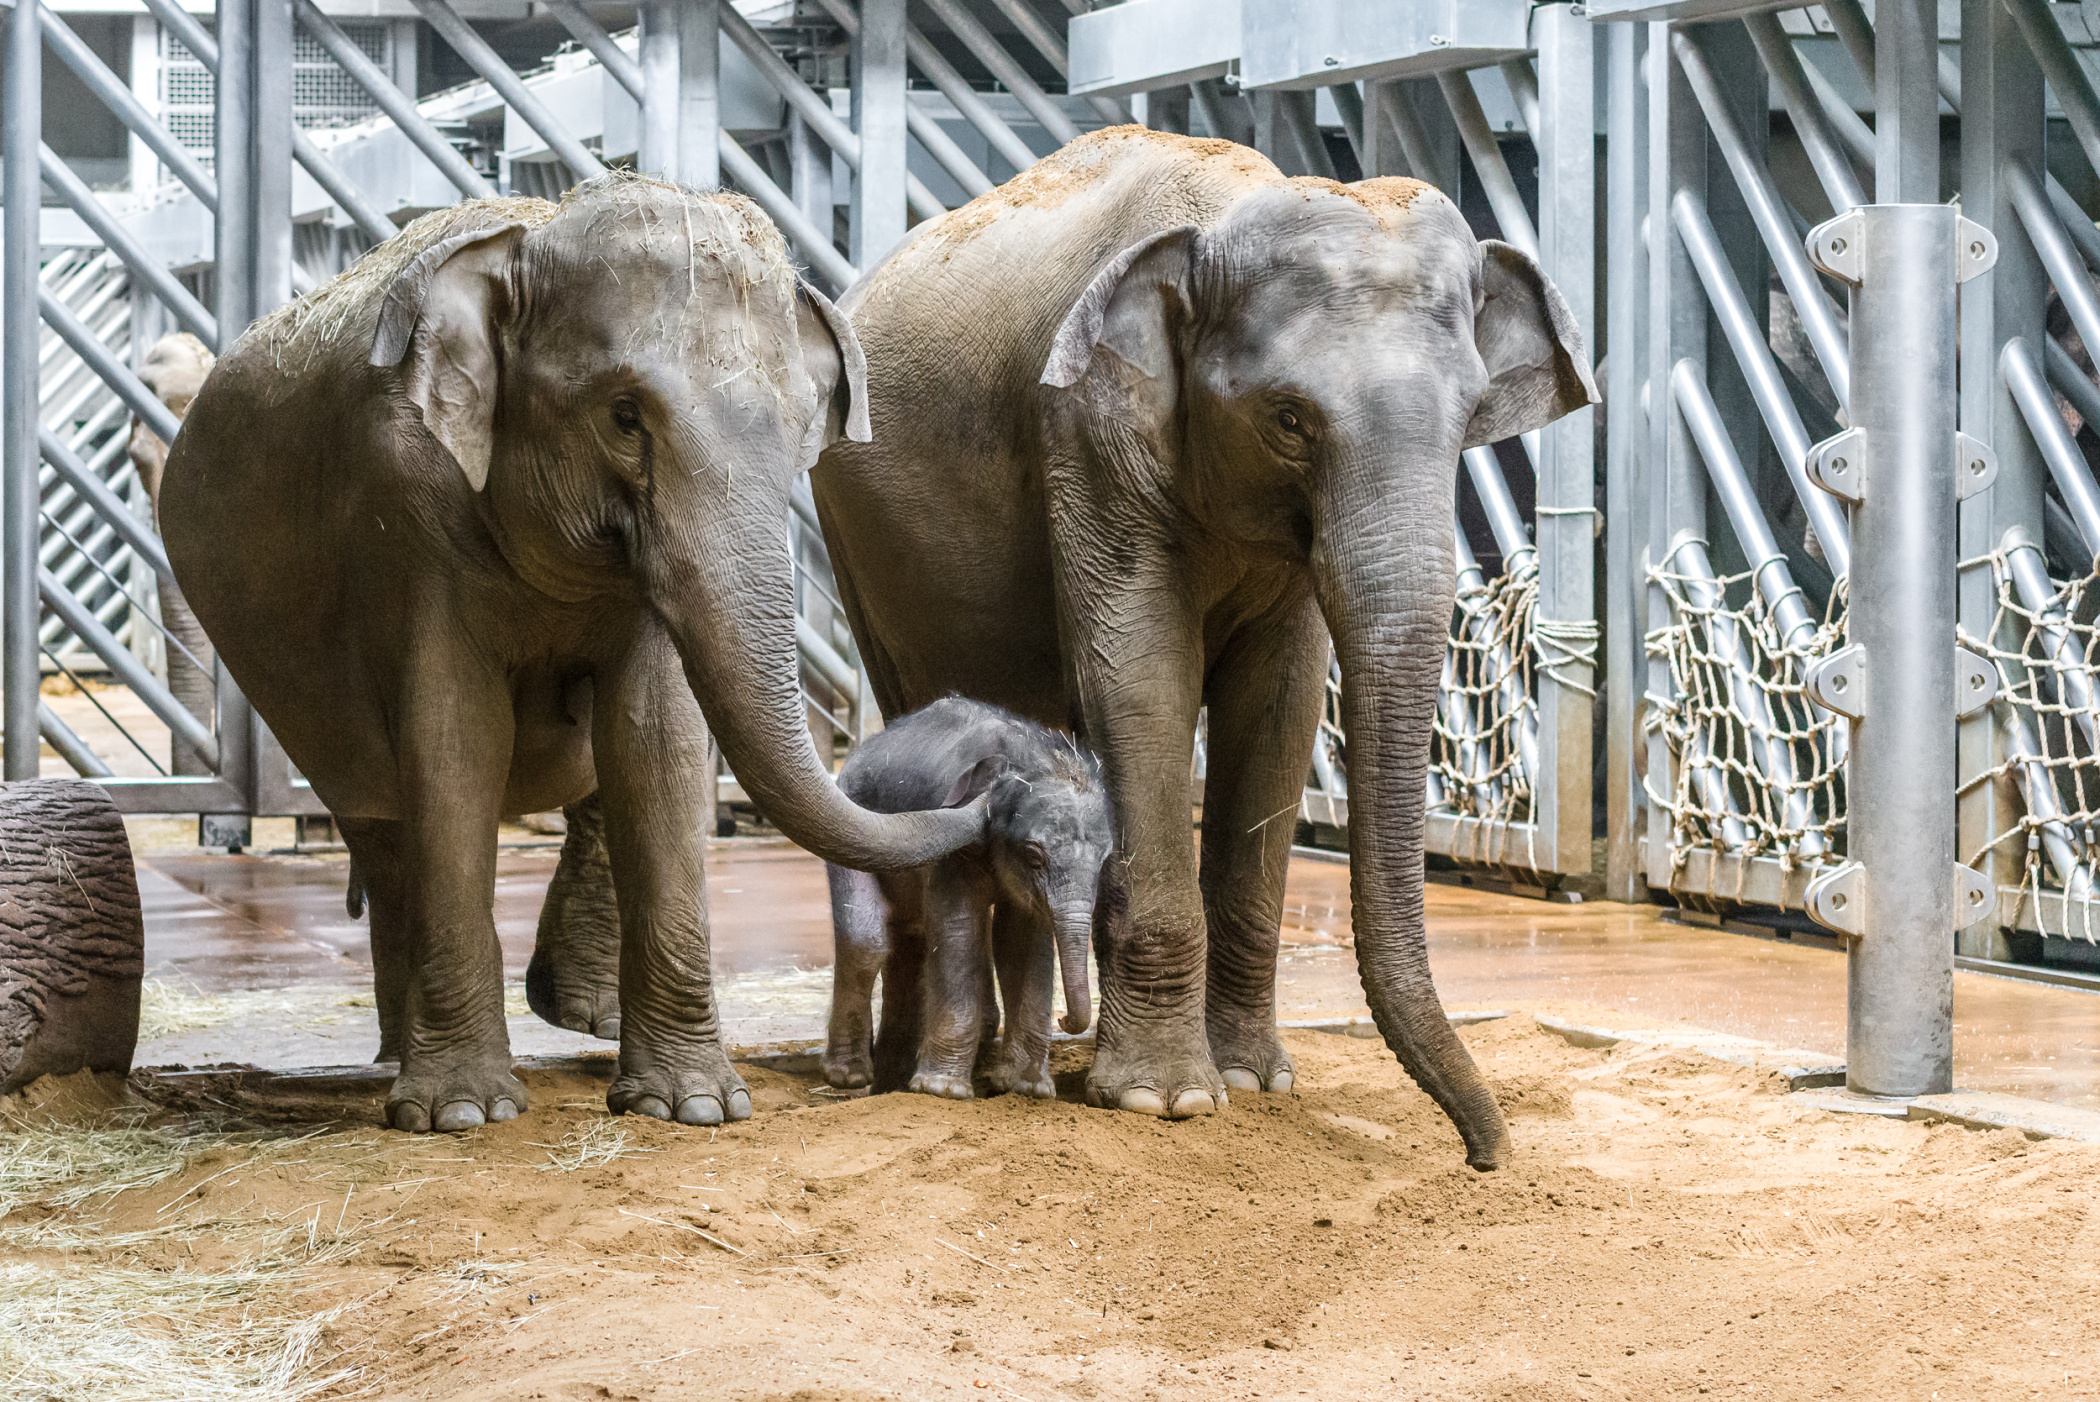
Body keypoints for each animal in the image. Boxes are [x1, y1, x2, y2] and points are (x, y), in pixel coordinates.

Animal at [163, 178, 982, 1141]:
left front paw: (694, 1107)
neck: (528, 247)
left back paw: (581, 1016)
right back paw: (404, 1066)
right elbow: (456, 740)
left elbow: (654, 737)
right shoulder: (406, 519)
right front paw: (463, 1114)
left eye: (799, 434)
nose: (983, 792)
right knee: (383, 821)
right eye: (624, 417)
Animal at [823, 696, 1117, 1099]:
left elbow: (1020, 940)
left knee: (908, 941)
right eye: (1034, 855)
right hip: (853, 821)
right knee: (865, 941)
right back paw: (851, 1077)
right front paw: (942, 1090)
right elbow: (958, 929)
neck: (1032, 756)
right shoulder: (952, 848)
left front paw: (1027, 1088)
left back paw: (891, 1078)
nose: (1064, 1019)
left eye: (1105, 859)